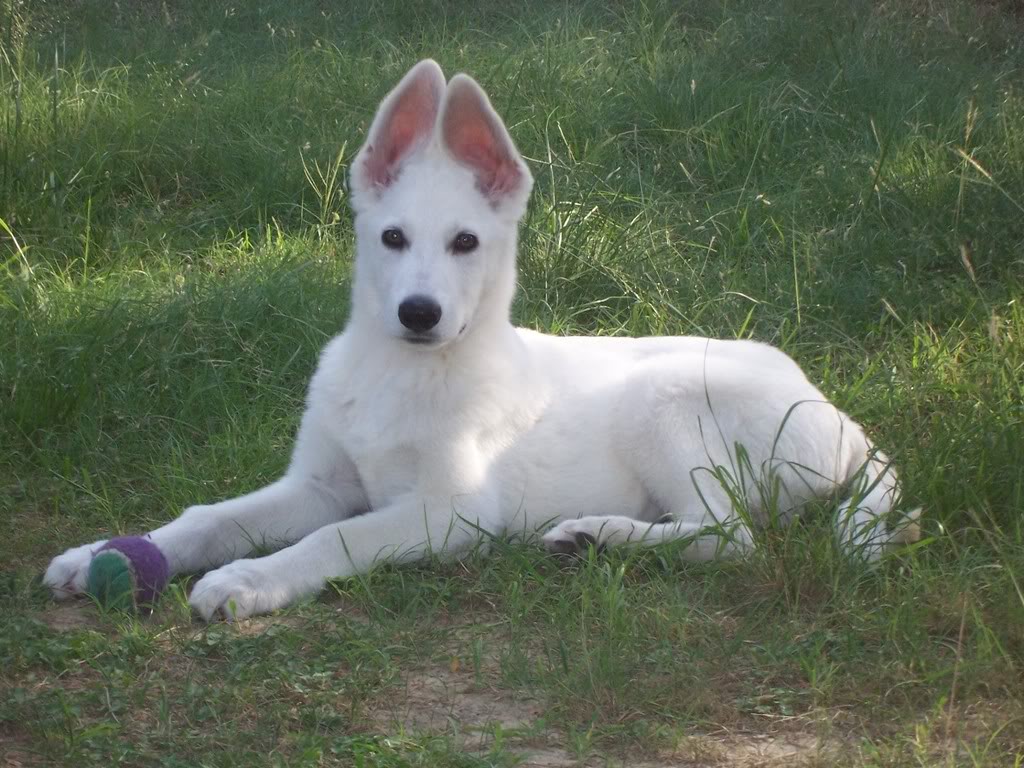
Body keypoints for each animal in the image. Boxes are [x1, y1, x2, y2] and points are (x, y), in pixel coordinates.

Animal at [44, 63, 921, 622]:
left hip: (665, 399)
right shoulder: (320, 482)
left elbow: (337, 537)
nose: (419, 313)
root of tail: (843, 418)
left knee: (730, 536)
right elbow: (208, 517)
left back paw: (599, 536)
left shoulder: (452, 510)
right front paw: (102, 554)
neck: (403, 374)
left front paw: (253, 579)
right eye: (392, 237)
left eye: (467, 242)